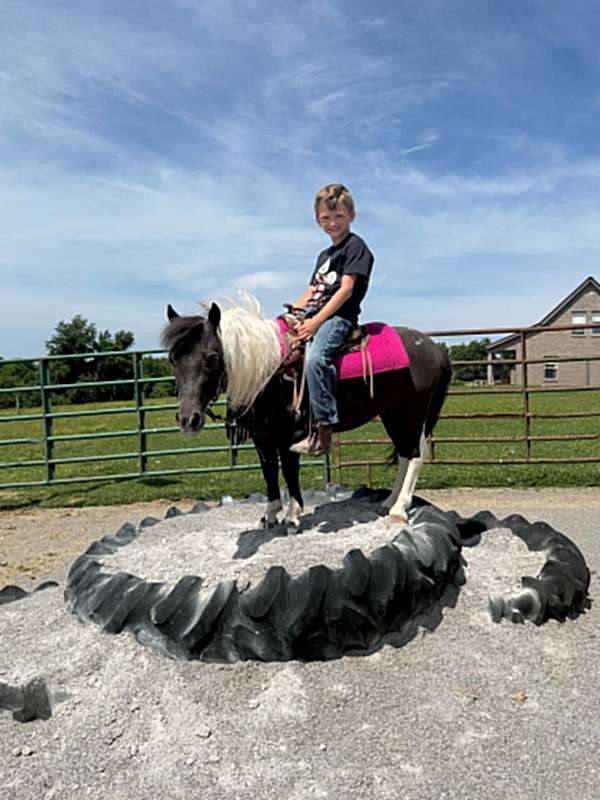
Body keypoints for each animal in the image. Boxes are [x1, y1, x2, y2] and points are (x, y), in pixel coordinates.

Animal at [162, 294, 451, 526]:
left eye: (212, 357)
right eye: (172, 358)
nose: (188, 419)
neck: (270, 371)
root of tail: (434, 347)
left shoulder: (289, 436)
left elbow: (289, 471)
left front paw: (292, 515)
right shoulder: (262, 438)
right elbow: (269, 472)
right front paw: (270, 515)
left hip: (410, 411)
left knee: (415, 454)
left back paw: (399, 509)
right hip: (391, 413)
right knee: (404, 453)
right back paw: (389, 502)